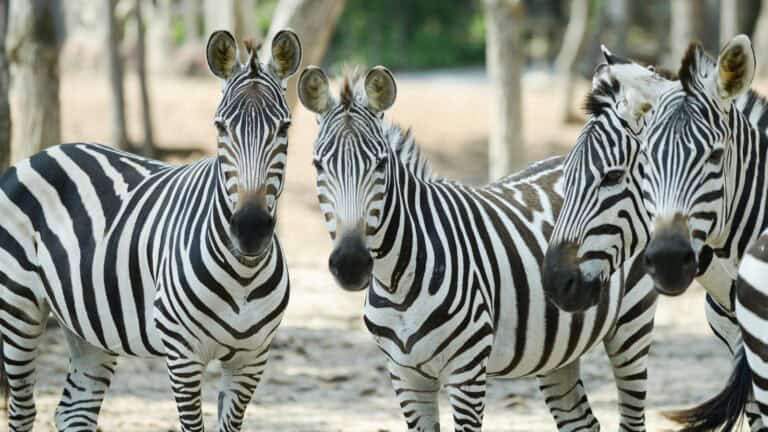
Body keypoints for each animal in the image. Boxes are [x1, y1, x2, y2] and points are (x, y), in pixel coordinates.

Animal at [0, 29, 300, 432]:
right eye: (220, 127)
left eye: (285, 127)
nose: (250, 228)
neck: (243, 275)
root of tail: (42, 153)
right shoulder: (183, 355)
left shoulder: (251, 359)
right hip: (18, 306)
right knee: (23, 410)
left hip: (87, 325)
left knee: (73, 410)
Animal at [297, 64, 658, 431]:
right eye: (317, 165)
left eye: (381, 164)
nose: (351, 264)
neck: (397, 280)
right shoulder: (405, 377)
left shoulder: (466, 371)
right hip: (557, 350)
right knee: (583, 423)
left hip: (632, 323)